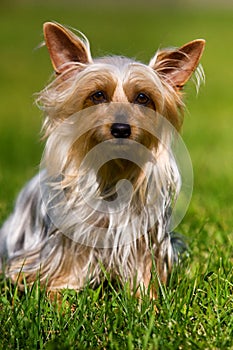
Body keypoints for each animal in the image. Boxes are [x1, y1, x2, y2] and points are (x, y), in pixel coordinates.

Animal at [0, 22, 204, 298]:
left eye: (142, 97)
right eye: (97, 95)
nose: (121, 128)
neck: (112, 173)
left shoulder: (143, 238)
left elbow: (144, 274)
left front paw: (146, 299)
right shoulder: (69, 240)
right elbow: (64, 271)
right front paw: (61, 294)